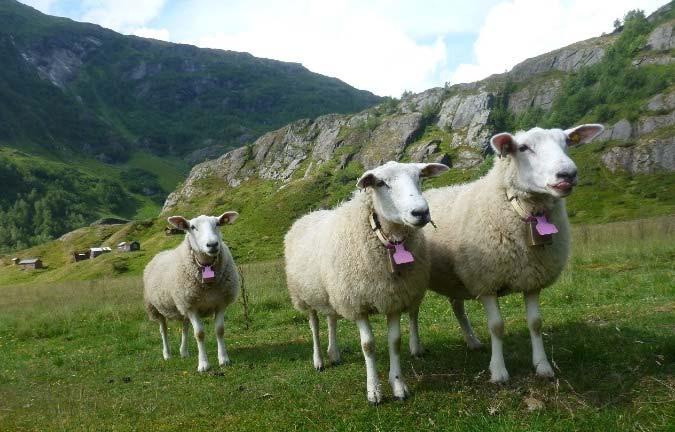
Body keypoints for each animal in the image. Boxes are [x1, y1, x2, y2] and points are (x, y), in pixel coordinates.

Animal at [143, 211, 240, 372]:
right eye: (192, 227)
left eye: (218, 223)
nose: (212, 245)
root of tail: (160, 253)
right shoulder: (191, 307)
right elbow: (199, 334)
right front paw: (203, 364)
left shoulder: (219, 303)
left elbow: (219, 330)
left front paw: (224, 359)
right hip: (157, 308)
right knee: (164, 330)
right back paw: (167, 354)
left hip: (183, 304)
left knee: (185, 327)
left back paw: (184, 352)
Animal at [284, 160, 448, 404]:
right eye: (381, 183)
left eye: (419, 176)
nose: (421, 212)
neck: (385, 237)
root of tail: (308, 215)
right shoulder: (357, 302)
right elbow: (368, 346)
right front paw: (374, 391)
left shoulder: (393, 298)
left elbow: (395, 341)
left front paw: (398, 385)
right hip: (304, 295)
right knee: (314, 325)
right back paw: (319, 360)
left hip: (331, 291)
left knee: (331, 319)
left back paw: (334, 354)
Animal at [410, 124, 604, 382]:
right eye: (523, 148)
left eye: (566, 142)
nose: (568, 174)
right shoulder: (486, 281)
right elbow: (497, 327)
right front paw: (499, 371)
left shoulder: (532, 278)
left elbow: (536, 323)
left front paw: (542, 366)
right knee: (413, 312)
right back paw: (416, 347)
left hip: (456, 277)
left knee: (457, 306)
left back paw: (472, 341)